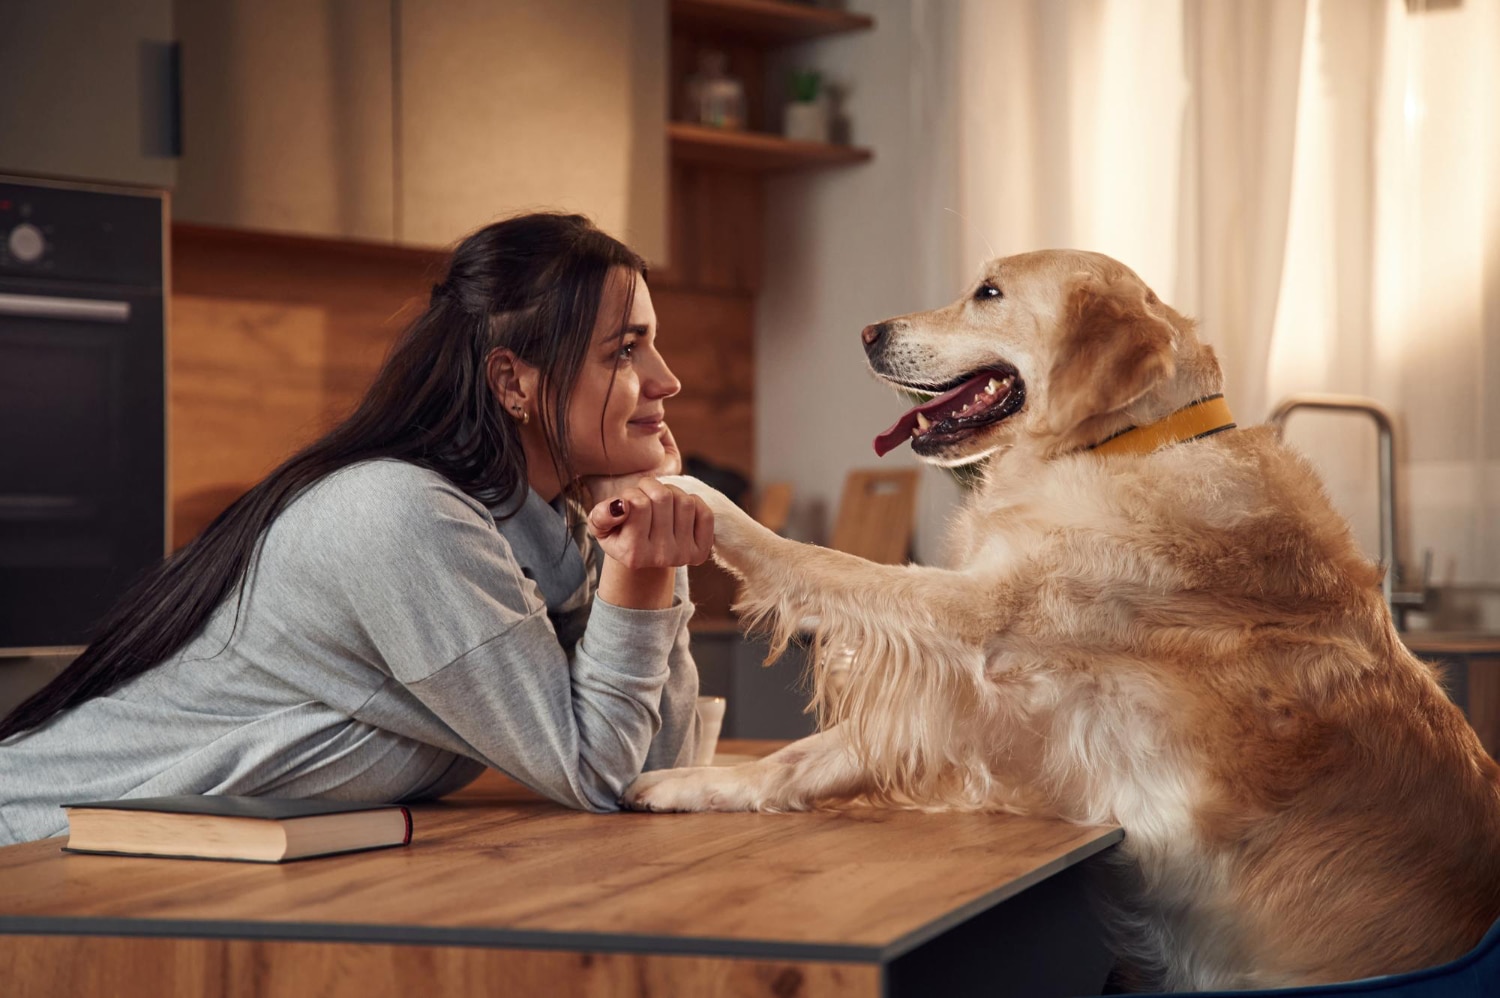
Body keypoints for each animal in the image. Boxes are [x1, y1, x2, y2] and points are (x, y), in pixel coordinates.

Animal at [624, 249, 1500, 990]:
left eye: (988, 292)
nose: (868, 332)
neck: (1127, 445)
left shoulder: (982, 630)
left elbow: (824, 564)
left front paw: (702, 501)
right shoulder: (1001, 714)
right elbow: (806, 757)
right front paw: (691, 784)